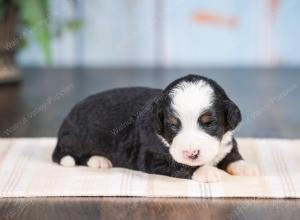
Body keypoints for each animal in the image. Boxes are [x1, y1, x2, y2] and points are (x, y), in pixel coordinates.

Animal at [51, 74, 258, 182]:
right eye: (173, 125)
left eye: (209, 123)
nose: (191, 153)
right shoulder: (153, 157)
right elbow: (181, 165)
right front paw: (206, 171)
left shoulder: (227, 143)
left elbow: (232, 155)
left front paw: (245, 167)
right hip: (78, 138)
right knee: (72, 156)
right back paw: (99, 160)